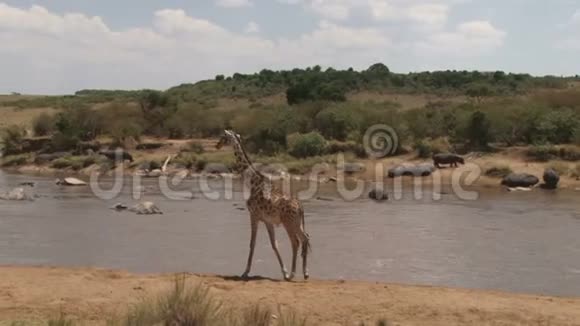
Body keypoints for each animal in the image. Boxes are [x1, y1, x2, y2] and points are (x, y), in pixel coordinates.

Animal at [215, 129, 310, 282]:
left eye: (224, 137)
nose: (217, 145)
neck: (252, 182)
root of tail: (300, 207)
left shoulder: (254, 215)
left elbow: (252, 243)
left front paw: (245, 272)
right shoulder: (267, 220)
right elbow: (274, 244)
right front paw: (284, 272)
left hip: (288, 223)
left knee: (295, 242)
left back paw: (292, 274)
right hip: (297, 223)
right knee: (305, 238)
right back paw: (305, 273)